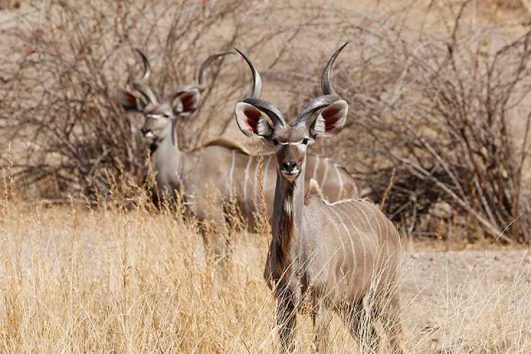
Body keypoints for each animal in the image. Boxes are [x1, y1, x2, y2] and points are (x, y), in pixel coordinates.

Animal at [120, 49, 360, 264]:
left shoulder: (214, 224)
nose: (146, 130)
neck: (182, 167)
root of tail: (349, 180)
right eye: (145, 113)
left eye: (166, 115)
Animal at [235, 44, 406, 354]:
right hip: (353, 308)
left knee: (395, 338)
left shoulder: (321, 305)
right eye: (276, 140)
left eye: (305, 140)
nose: (290, 165)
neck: (295, 251)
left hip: (384, 295)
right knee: (372, 341)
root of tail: (386, 222)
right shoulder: (283, 305)